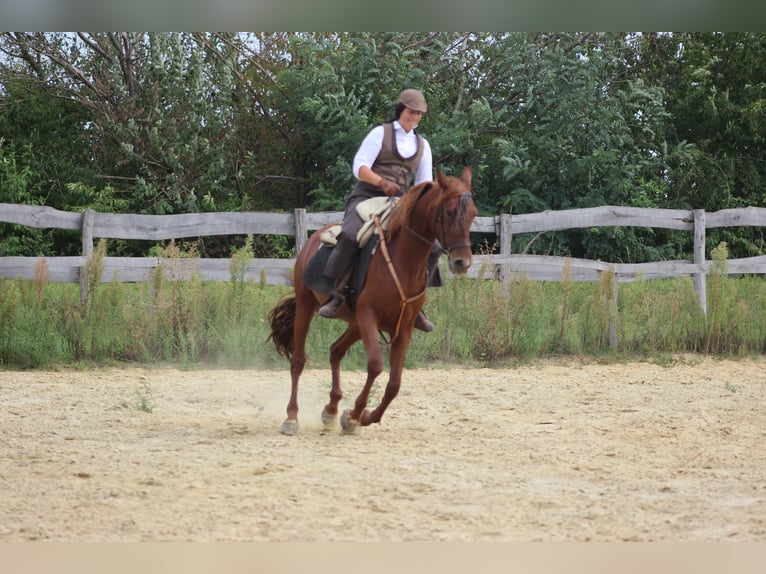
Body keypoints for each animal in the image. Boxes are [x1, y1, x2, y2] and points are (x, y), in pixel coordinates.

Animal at [268, 166, 476, 436]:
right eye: (449, 212)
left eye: (473, 214)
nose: (462, 262)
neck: (403, 260)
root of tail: (313, 240)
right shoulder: (368, 316)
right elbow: (376, 365)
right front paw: (354, 414)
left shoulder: (404, 328)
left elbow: (395, 383)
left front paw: (363, 417)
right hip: (307, 306)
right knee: (298, 361)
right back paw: (292, 418)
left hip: (355, 323)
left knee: (335, 351)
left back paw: (331, 410)